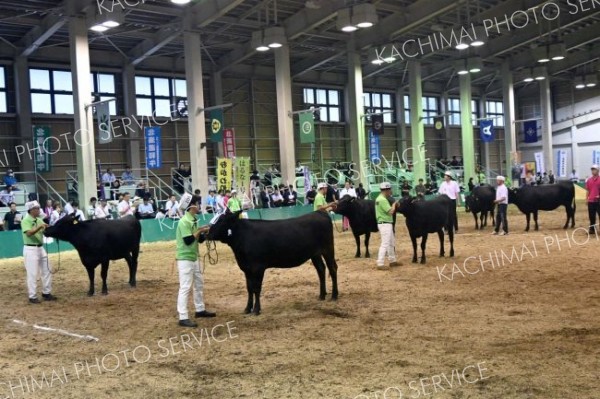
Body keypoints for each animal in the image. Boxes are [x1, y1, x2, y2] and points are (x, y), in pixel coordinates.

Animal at [206, 211, 338, 318]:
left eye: (222, 221)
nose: (206, 234)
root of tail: (319, 212)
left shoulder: (258, 268)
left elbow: (256, 288)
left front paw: (256, 310)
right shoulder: (246, 269)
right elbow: (249, 288)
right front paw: (247, 309)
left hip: (327, 249)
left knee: (332, 268)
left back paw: (334, 296)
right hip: (315, 254)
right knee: (321, 269)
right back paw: (322, 295)